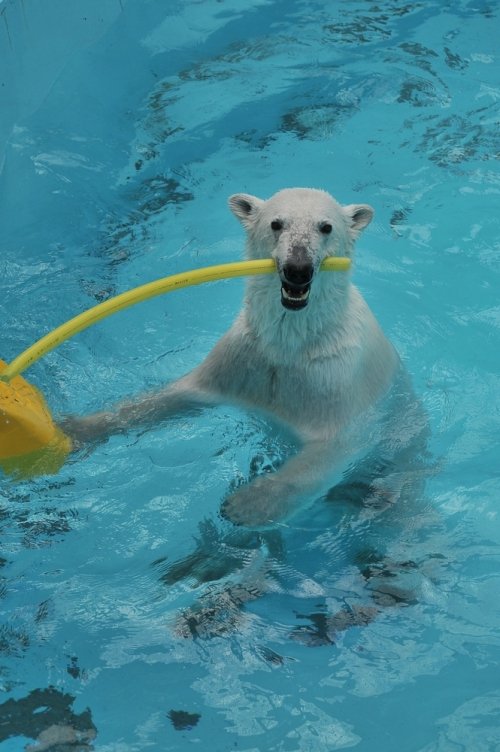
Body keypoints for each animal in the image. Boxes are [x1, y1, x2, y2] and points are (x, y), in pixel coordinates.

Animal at [61, 188, 422, 528]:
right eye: (276, 224)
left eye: (326, 227)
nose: (298, 269)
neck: (290, 343)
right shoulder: (244, 357)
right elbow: (178, 394)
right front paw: (74, 430)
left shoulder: (336, 379)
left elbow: (334, 447)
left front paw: (248, 505)